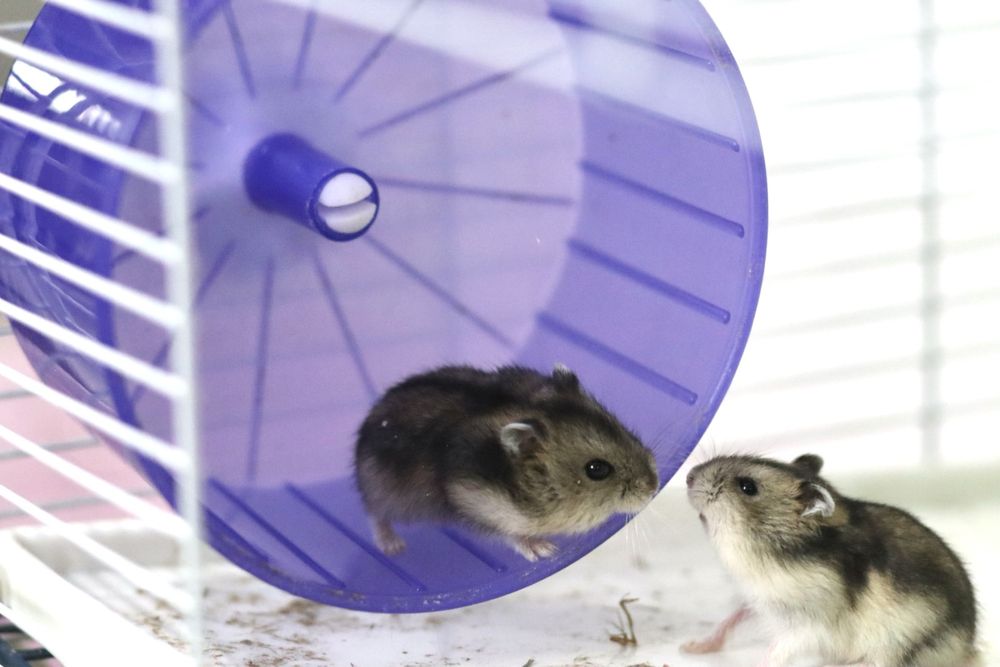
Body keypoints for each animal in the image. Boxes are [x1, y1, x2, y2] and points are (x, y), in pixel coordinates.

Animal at [354, 363, 659, 561]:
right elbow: (512, 534)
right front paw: (545, 551)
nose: (653, 487)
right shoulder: (476, 502)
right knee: (375, 515)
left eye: (620, 427)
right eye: (597, 469)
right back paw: (393, 546)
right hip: (382, 492)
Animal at [682, 453, 978, 667]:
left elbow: (777, 651)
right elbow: (730, 620)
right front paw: (690, 648)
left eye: (747, 487)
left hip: (900, 645)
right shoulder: (759, 602)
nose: (688, 475)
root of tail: (968, 650)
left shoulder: (807, 626)